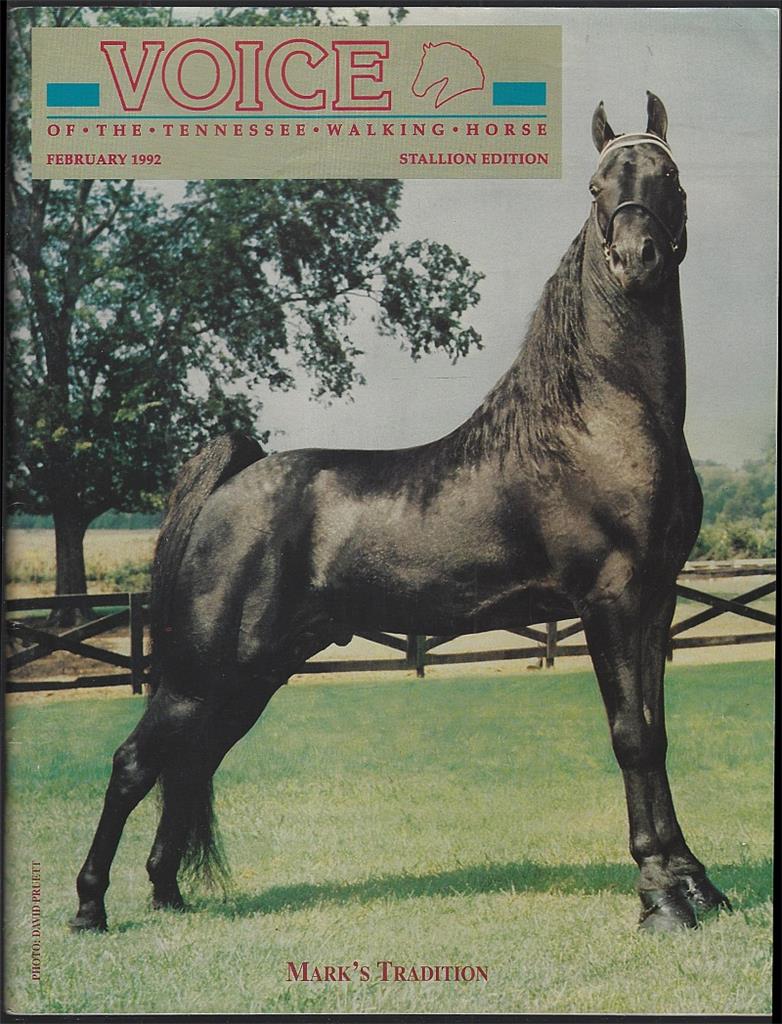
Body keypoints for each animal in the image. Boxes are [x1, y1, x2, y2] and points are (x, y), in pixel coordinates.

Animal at [72, 93, 732, 934]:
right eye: (595, 187)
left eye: (669, 179)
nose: (638, 257)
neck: (602, 419)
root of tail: (235, 478)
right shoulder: (608, 603)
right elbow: (631, 738)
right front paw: (660, 897)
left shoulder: (654, 602)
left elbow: (657, 732)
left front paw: (696, 884)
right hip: (202, 670)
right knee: (135, 763)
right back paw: (90, 908)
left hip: (252, 676)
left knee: (189, 762)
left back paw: (168, 894)